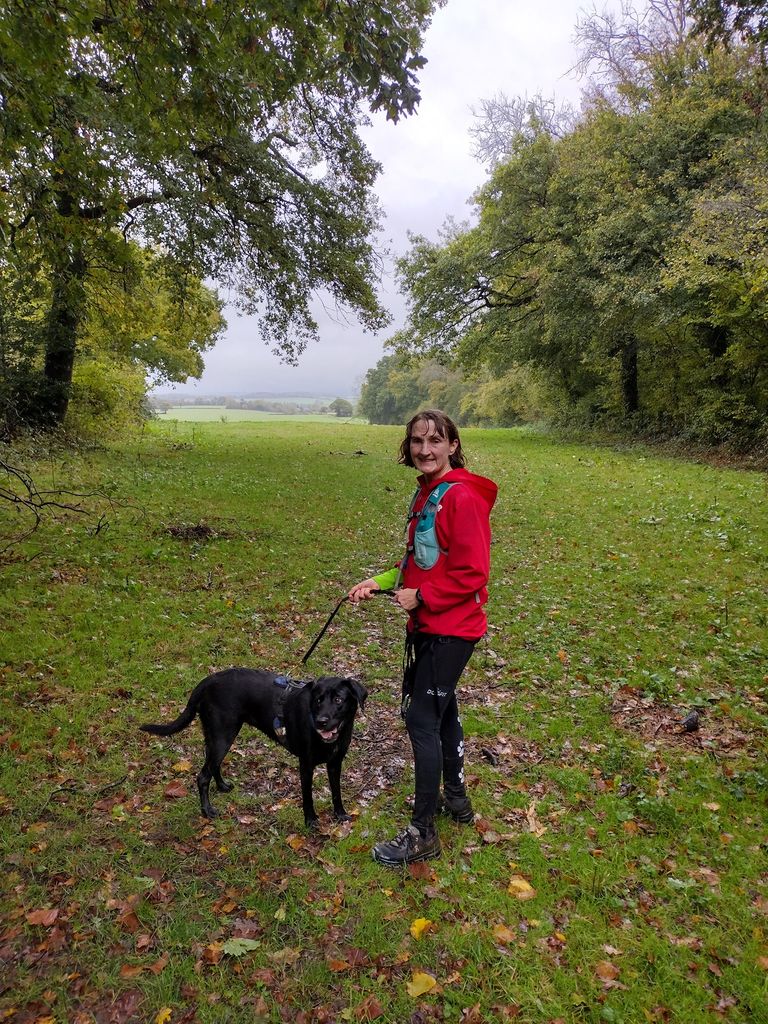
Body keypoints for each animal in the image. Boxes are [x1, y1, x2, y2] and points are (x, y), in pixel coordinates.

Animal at [141, 667, 370, 827]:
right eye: (318, 700)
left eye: (338, 699)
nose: (321, 722)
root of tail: (207, 681)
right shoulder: (306, 765)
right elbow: (308, 797)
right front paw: (311, 820)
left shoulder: (335, 763)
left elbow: (336, 791)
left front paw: (340, 814)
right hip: (223, 734)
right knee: (203, 775)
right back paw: (207, 811)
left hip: (216, 735)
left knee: (212, 765)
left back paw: (222, 786)